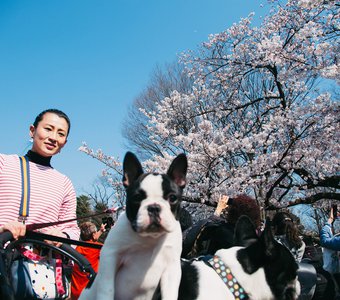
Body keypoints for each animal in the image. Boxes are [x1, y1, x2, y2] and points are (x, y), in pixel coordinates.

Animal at [79, 151, 189, 300]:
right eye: (137, 198)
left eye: (172, 198)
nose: (154, 207)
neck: (150, 238)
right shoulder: (110, 256)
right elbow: (107, 288)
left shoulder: (172, 267)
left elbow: (170, 294)